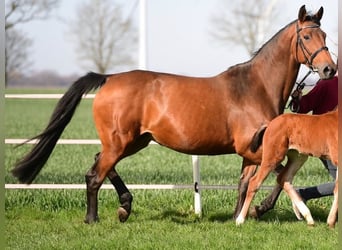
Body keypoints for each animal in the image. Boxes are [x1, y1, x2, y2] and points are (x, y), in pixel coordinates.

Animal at [12, 4, 336, 224]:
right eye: (307, 37)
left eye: (324, 34)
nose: (329, 69)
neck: (254, 87)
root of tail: (109, 78)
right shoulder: (255, 149)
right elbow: (280, 175)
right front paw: (269, 210)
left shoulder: (249, 152)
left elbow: (247, 183)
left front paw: (239, 216)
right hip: (120, 142)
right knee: (94, 175)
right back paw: (94, 218)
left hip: (133, 141)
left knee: (100, 164)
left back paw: (125, 206)